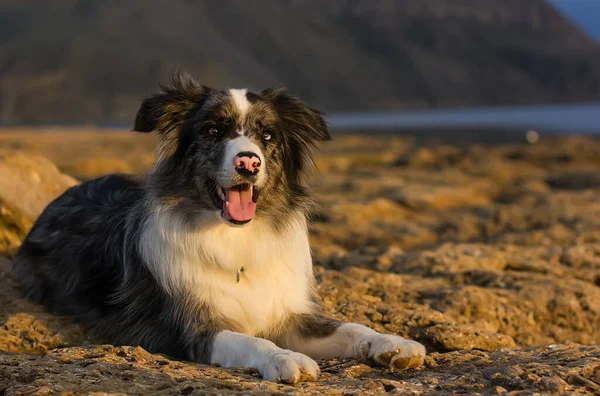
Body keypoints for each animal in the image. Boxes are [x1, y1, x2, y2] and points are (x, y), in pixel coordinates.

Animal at [14, 72, 426, 384]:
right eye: (212, 131)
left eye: (268, 136)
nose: (249, 162)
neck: (235, 238)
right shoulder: (193, 329)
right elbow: (251, 341)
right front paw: (284, 359)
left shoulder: (290, 314)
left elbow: (351, 328)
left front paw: (392, 343)